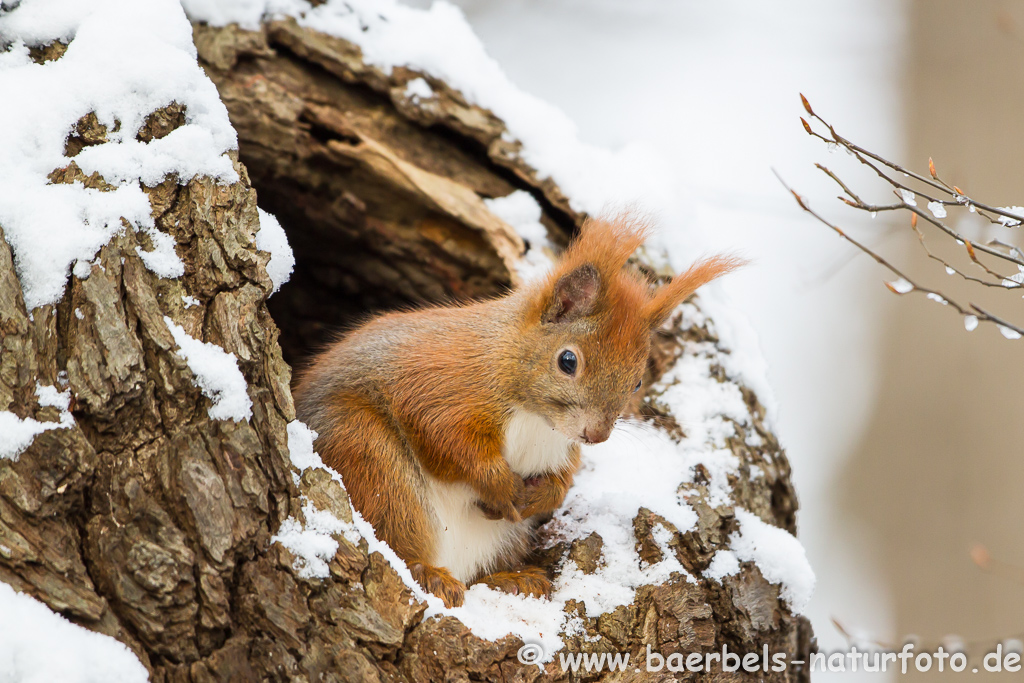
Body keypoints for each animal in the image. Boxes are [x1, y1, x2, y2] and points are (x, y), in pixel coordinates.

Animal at [292, 215, 741, 610]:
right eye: (567, 361)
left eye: (636, 382)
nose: (596, 436)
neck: (535, 418)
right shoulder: (440, 384)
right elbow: (448, 439)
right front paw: (502, 486)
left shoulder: (560, 447)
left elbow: (562, 479)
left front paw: (540, 495)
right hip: (369, 456)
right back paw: (431, 573)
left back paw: (513, 579)